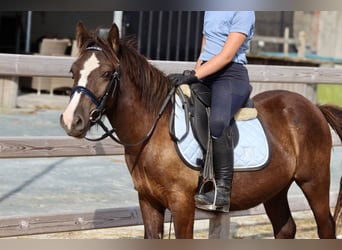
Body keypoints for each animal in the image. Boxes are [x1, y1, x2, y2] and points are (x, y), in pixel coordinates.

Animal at [60, 22, 340, 239]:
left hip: (314, 181)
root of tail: (314, 107)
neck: (155, 129)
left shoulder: (182, 205)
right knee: (285, 229)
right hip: (275, 189)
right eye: (73, 71)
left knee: (325, 227)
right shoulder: (149, 202)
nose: (71, 120)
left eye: (107, 73)